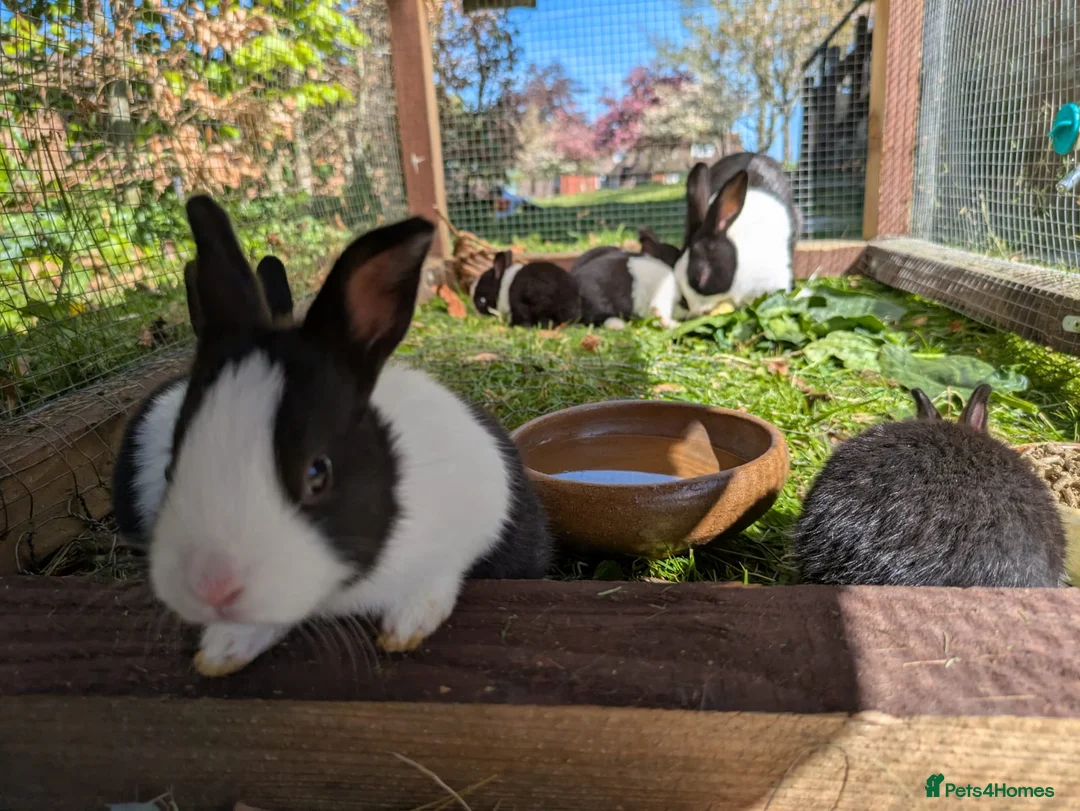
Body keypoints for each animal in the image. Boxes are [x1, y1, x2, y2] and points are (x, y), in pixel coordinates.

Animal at [148, 197, 553, 676]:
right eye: (170, 466)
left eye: (317, 472)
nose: (212, 587)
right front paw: (222, 650)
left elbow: (438, 579)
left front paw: (405, 629)